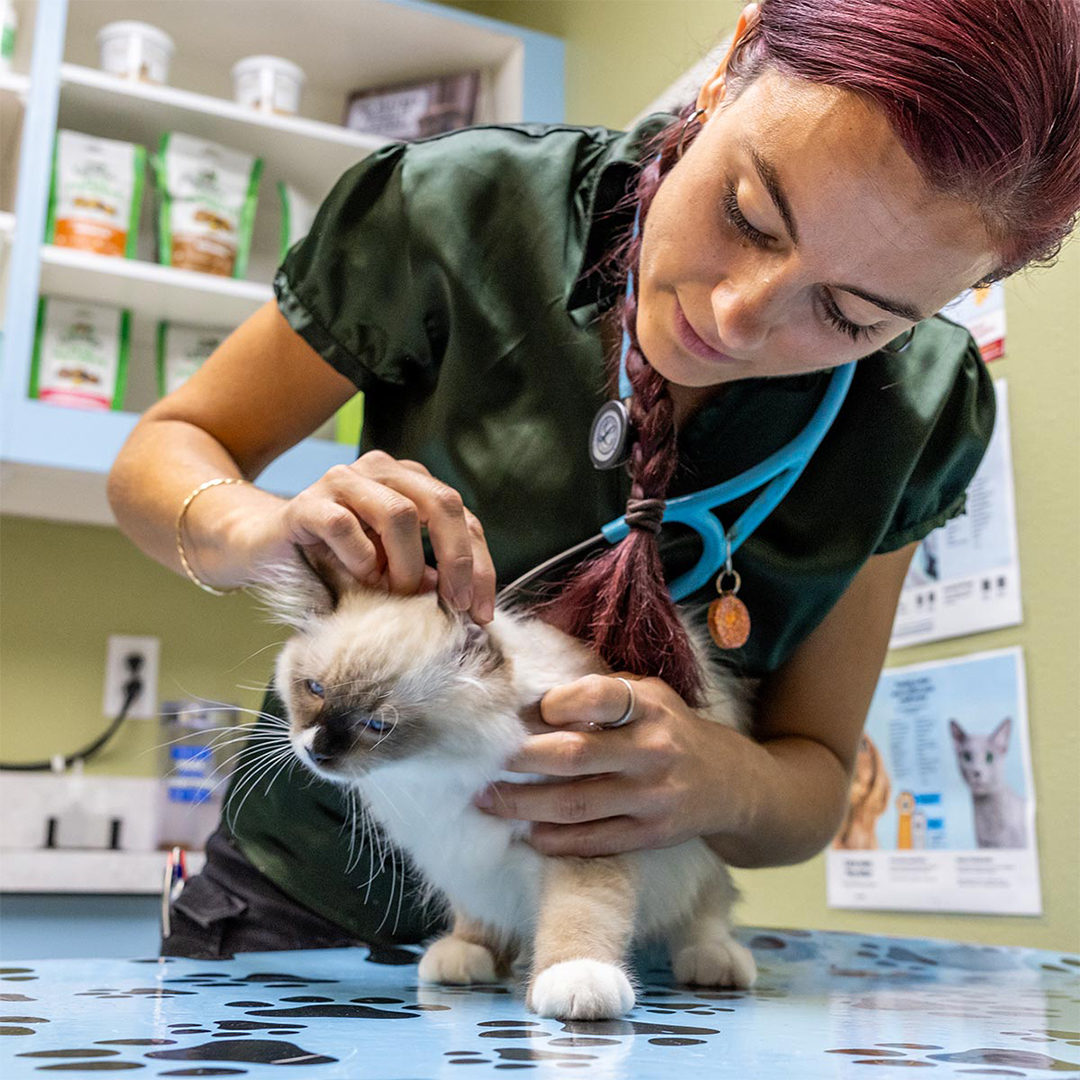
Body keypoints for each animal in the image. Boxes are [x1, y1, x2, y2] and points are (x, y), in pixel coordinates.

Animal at [252, 557, 760, 1019]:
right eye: (314, 689)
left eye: (377, 725)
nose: (317, 751)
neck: (430, 773)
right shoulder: (461, 854)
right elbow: (477, 916)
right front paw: (468, 952)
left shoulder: (582, 844)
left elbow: (580, 914)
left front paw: (578, 982)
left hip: (696, 860)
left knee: (705, 912)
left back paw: (715, 961)